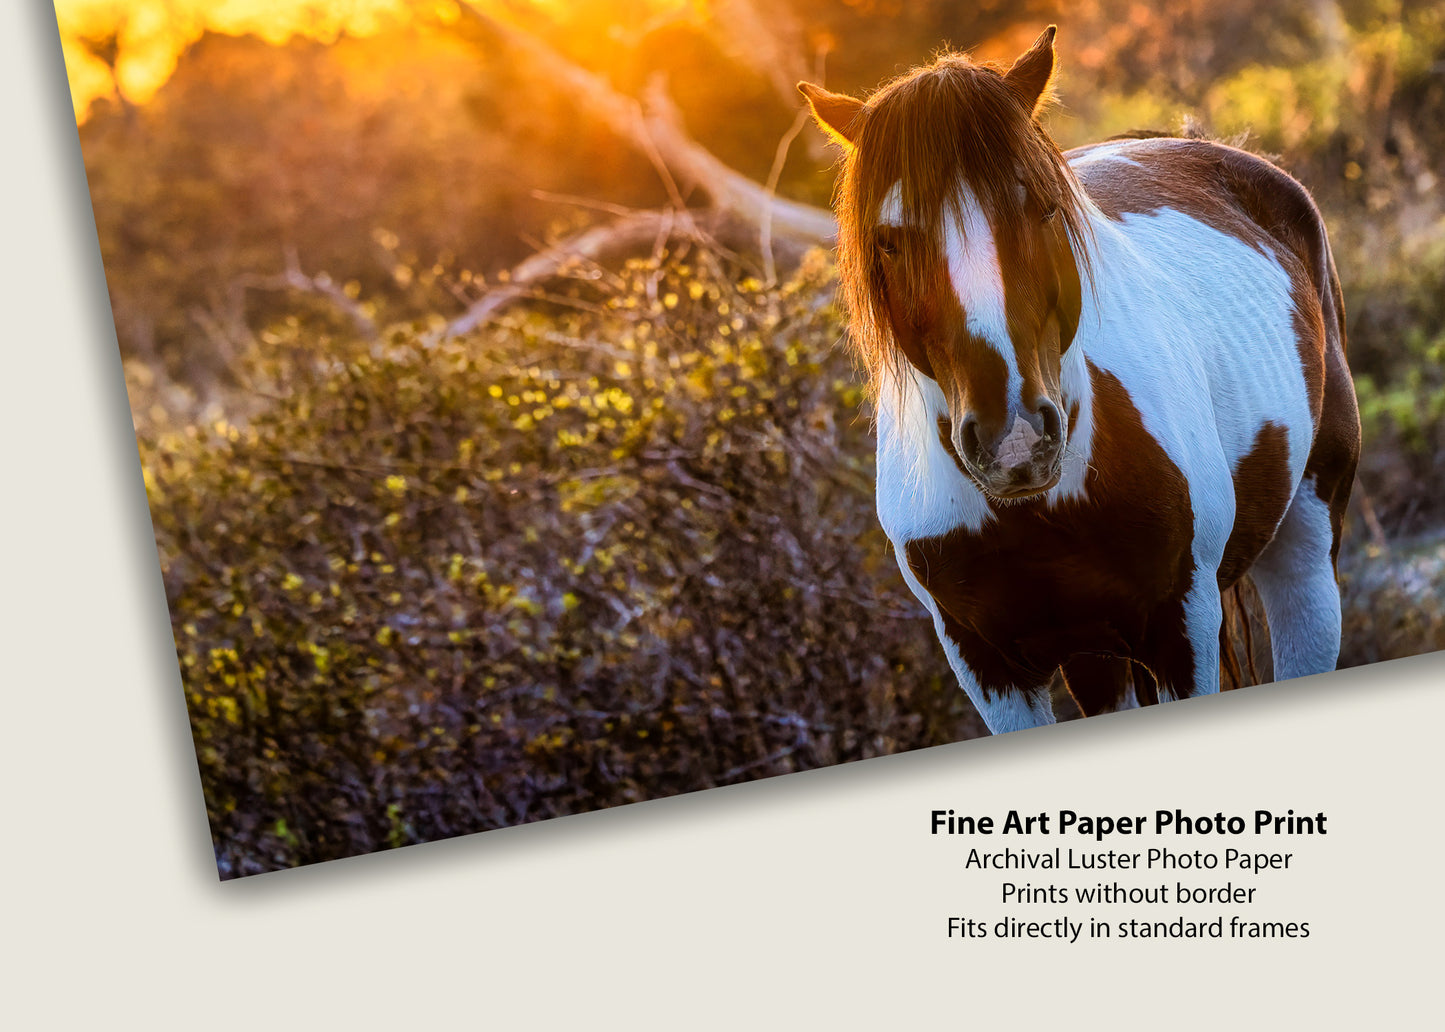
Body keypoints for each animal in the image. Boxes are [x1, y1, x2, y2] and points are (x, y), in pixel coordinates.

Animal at [798, 26, 1361, 734]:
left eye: (1042, 209)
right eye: (891, 240)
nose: (1014, 438)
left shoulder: (1183, 626)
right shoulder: (987, 666)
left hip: (1306, 546)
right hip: (1093, 655)